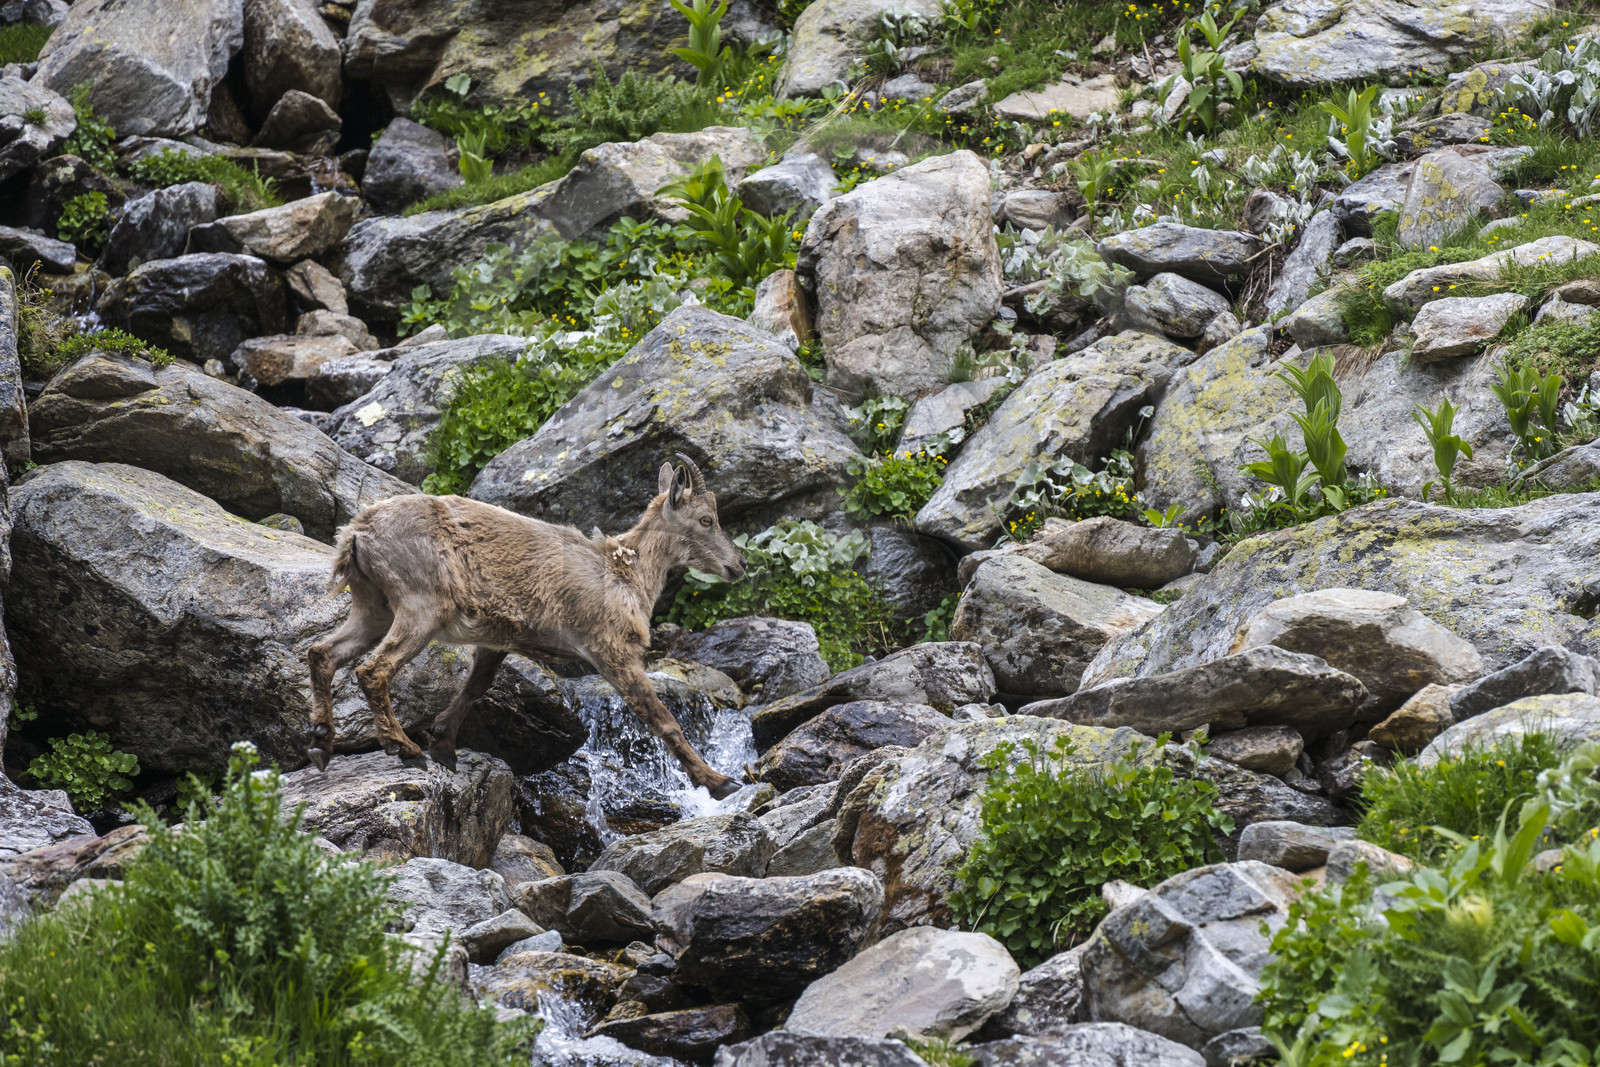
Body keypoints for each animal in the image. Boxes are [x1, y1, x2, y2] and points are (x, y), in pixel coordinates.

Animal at [305, 453, 747, 798]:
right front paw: (718, 782)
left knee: (322, 653)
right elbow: (660, 716)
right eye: (706, 519)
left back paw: (322, 744)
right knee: (372, 670)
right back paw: (403, 749)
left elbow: (476, 687)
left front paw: (444, 745)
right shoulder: (610, 649)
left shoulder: (497, 641)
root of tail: (357, 533)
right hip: (422, 605)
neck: (625, 571)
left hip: (373, 607)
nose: (739, 565)